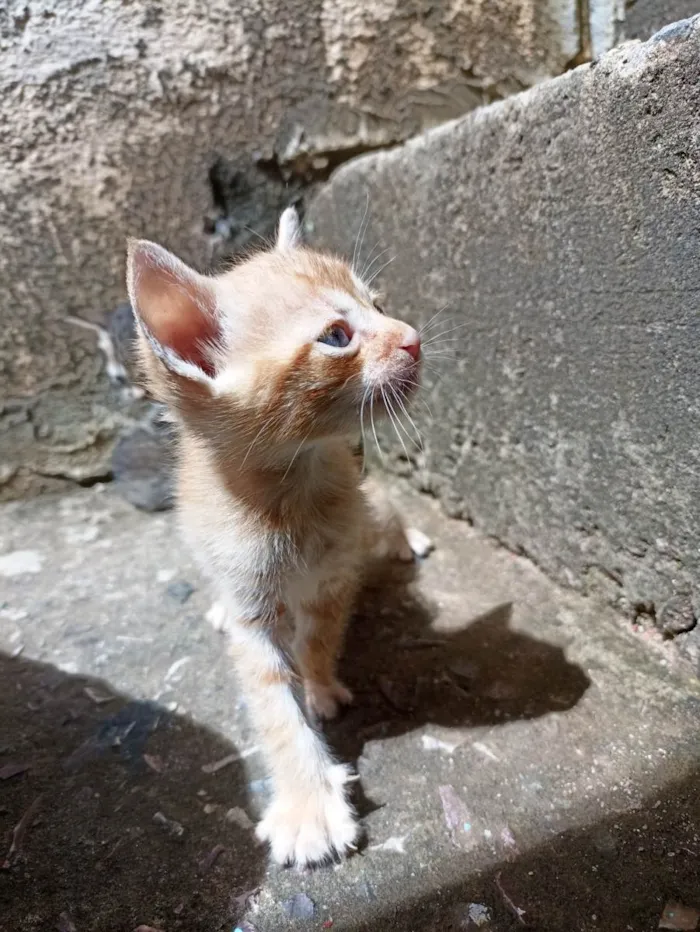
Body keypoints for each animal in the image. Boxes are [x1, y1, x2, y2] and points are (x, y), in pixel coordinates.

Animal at [129, 209, 430, 868]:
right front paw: (308, 805)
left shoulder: (334, 577)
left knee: (386, 512)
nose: (413, 336)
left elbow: (318, 641)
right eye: (337, 336)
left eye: (377, 304)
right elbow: (272, 704)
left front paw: (320, 687)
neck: (292, 495)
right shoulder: (251, 608)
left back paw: (408, 539)